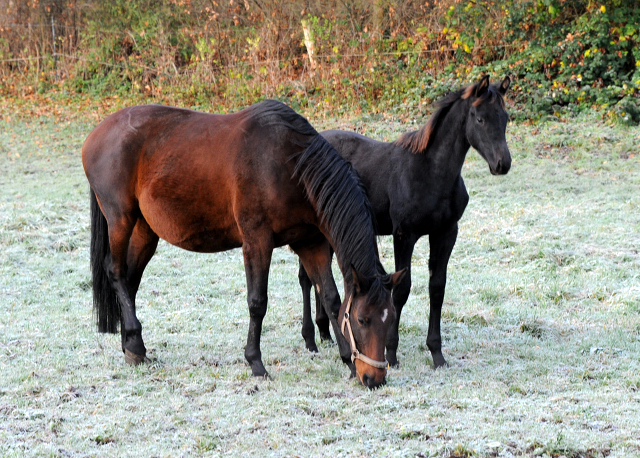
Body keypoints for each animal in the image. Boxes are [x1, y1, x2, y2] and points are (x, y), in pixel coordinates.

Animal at [82, 100, 404, 386]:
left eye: (389, 319)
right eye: (362, 320)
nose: (374, 379)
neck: (290, 165)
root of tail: (94, 135)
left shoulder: (310, 244)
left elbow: (331, 298)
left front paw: (347, 361)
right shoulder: (257, 241)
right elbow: (257, 303)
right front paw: (256, 363)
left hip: (145, 230)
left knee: (131, 280)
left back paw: (131, 344)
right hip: (120, 219)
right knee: (116, 272)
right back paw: (135, 345)